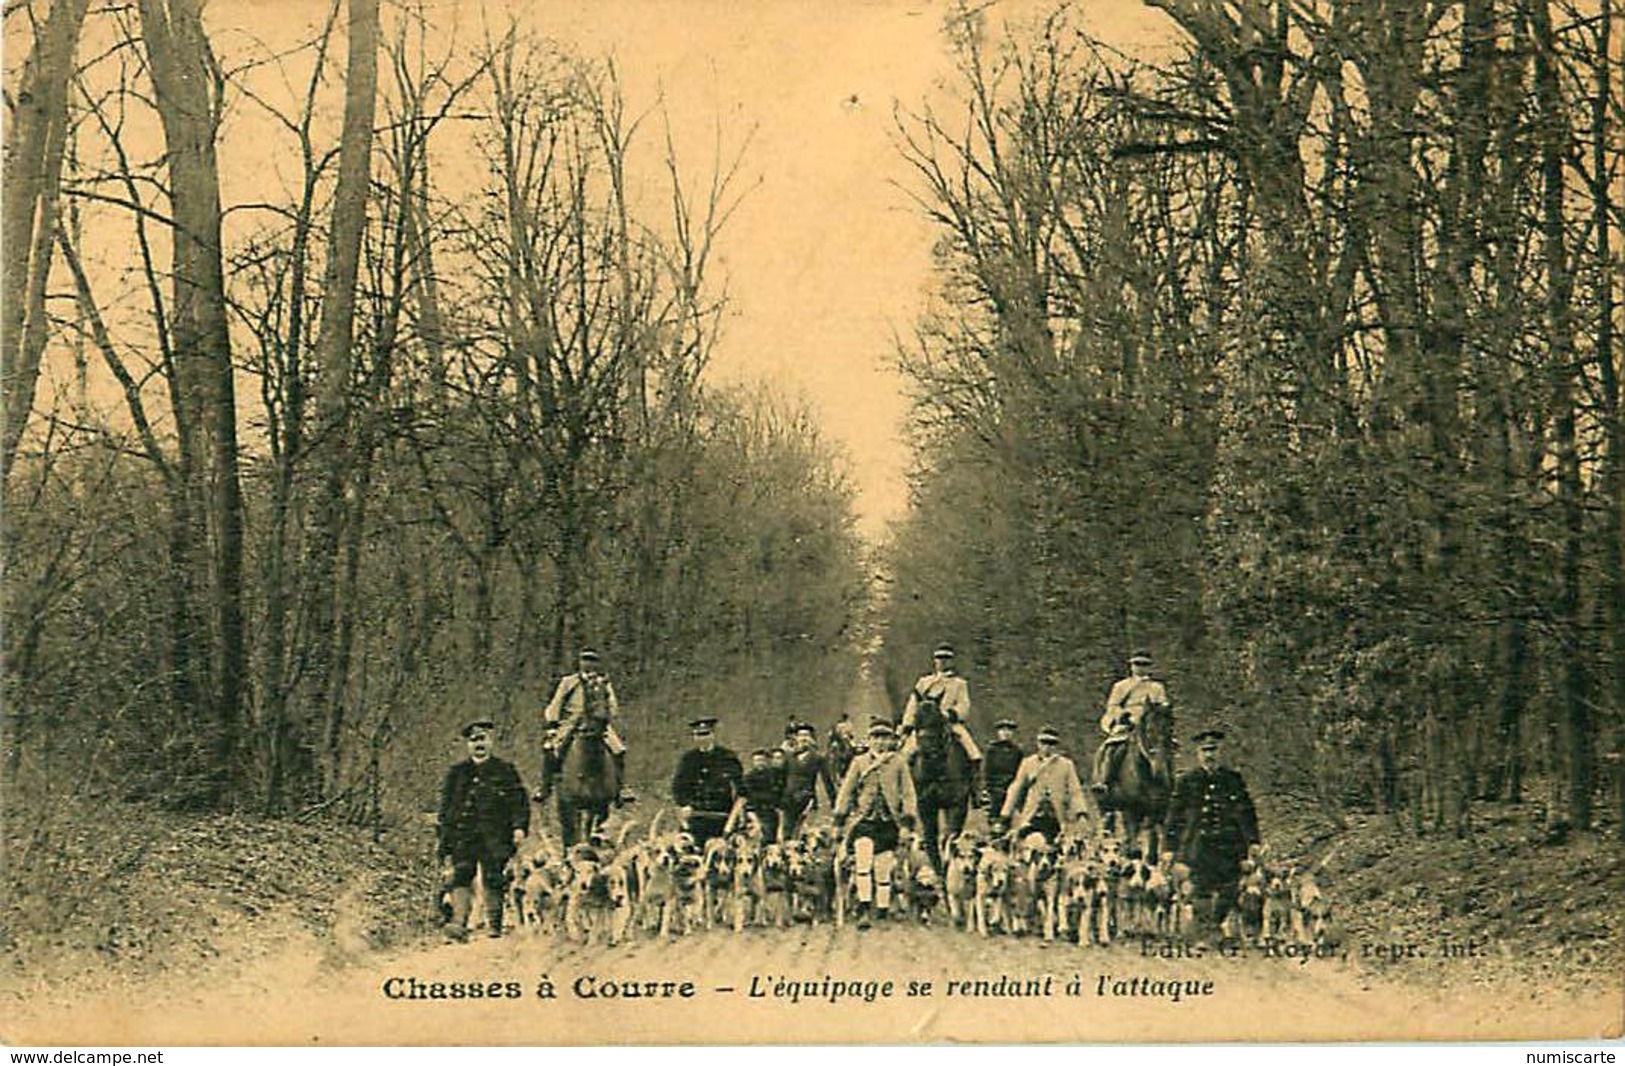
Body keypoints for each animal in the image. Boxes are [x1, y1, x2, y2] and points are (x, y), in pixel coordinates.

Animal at [552, 711, 614, 851]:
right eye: (580, 719)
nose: (586, 730)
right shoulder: (572, 803)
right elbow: (576, 828)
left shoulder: (597, 803)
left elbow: (590, 826)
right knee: (568, 828)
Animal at [1098, 705, 1176, 864]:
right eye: (1149, 730)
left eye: (1171, 729)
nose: (1159, 770)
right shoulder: (1130, 807)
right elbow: (1133, 834)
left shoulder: (1159, 808)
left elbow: (1152, 831)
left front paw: (1151, 857)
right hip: (1105, 805)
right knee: (1109, 826)